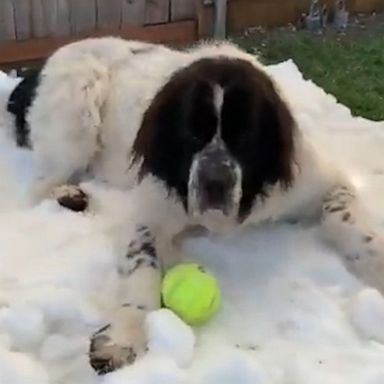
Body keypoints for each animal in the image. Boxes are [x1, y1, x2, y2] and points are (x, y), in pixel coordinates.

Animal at [6, 37, 384, 374]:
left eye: (245, 136)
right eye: (191, 133)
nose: (214, 182)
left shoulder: (318, 181)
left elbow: (344, 217)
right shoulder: (152, 207)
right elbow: (143, 262)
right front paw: (124, 333)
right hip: (80, 102)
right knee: (41, 183)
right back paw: (69, 195)